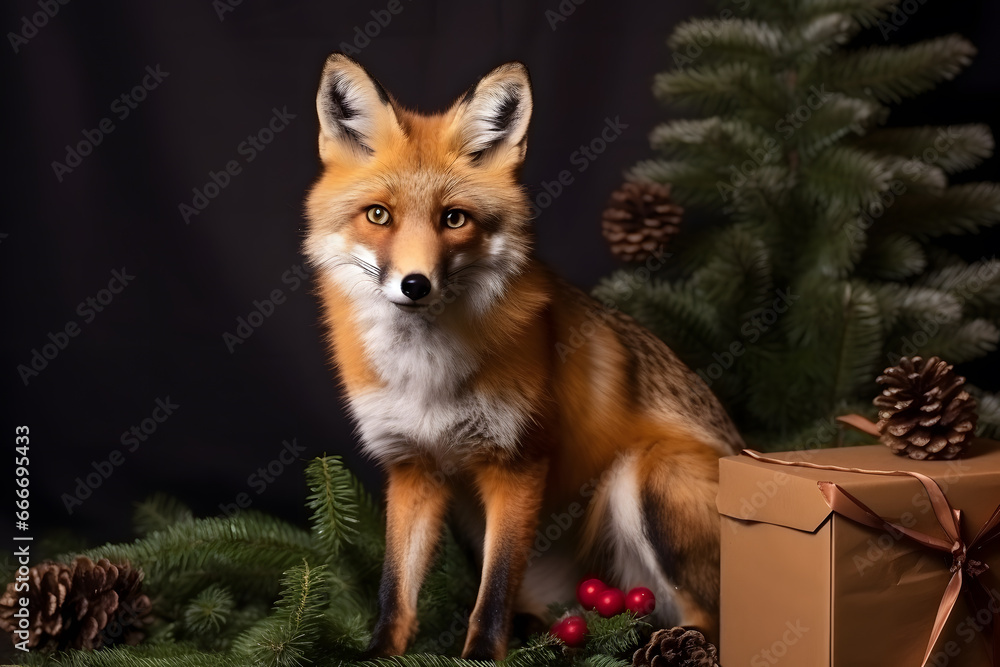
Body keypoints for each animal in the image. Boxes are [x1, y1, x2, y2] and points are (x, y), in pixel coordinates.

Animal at [303, 53, 745, 661]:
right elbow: (395, 592)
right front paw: (377, 655)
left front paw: (479, 658)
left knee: (709, 621)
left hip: (646, 474)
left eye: (454, 219)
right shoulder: (413, 467)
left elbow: (493, 594)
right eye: (378, 215)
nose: (415, 285)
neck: (426, 374)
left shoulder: (517, 463)